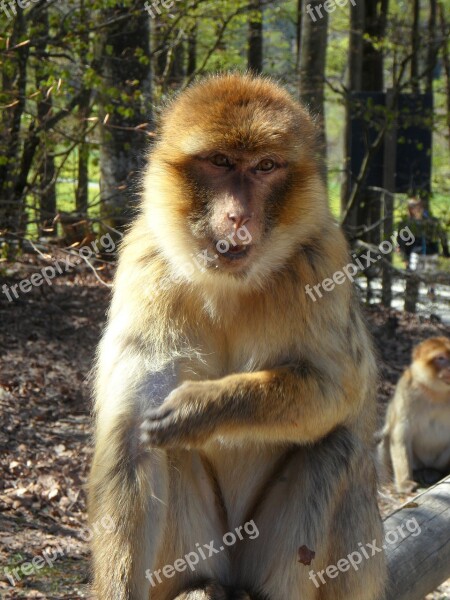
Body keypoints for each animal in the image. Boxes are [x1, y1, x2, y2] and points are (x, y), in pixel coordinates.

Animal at [89, 71, 386, 600]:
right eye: (221, 162)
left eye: (265, 166)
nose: (238, 215)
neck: (230, 284)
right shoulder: (146, 262)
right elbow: (133, 435)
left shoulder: (322, 258)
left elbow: (337, 390)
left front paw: (203, 408)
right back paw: (201, 585)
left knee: (338, 446)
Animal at [380, 338, 450, 492]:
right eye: (440, 358)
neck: (436, 392)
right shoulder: (406, 388)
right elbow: (401, 433)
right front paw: (404, 482)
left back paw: (434, 471)